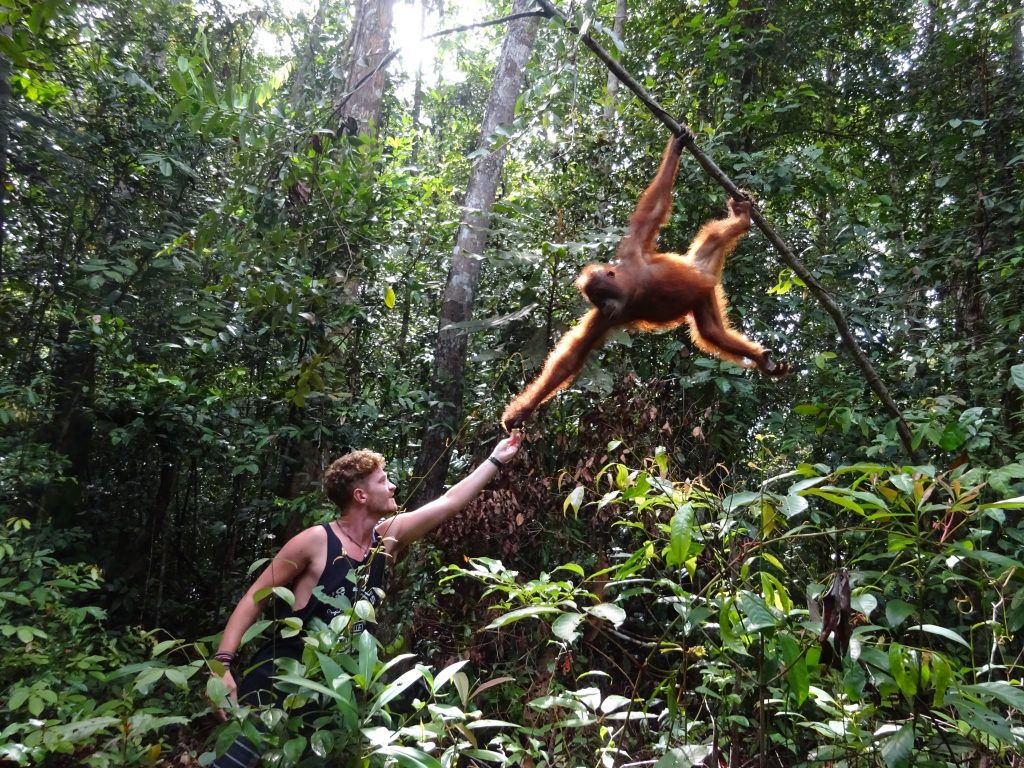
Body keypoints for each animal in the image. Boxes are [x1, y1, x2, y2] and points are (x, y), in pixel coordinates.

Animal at [501, 133, 789, 430]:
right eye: (598, 301)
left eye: (603, 296)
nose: (606, 306)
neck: (633, 289)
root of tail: (706, 274)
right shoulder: (603, 318)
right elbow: (569, 360)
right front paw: (520, 413)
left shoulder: (634, 251)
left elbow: (655, 207)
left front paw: (677, 145)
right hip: (704, 294)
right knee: (711, 332)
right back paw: (761, 359)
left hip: (700, 263)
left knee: (717, 236)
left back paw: (741, 219)